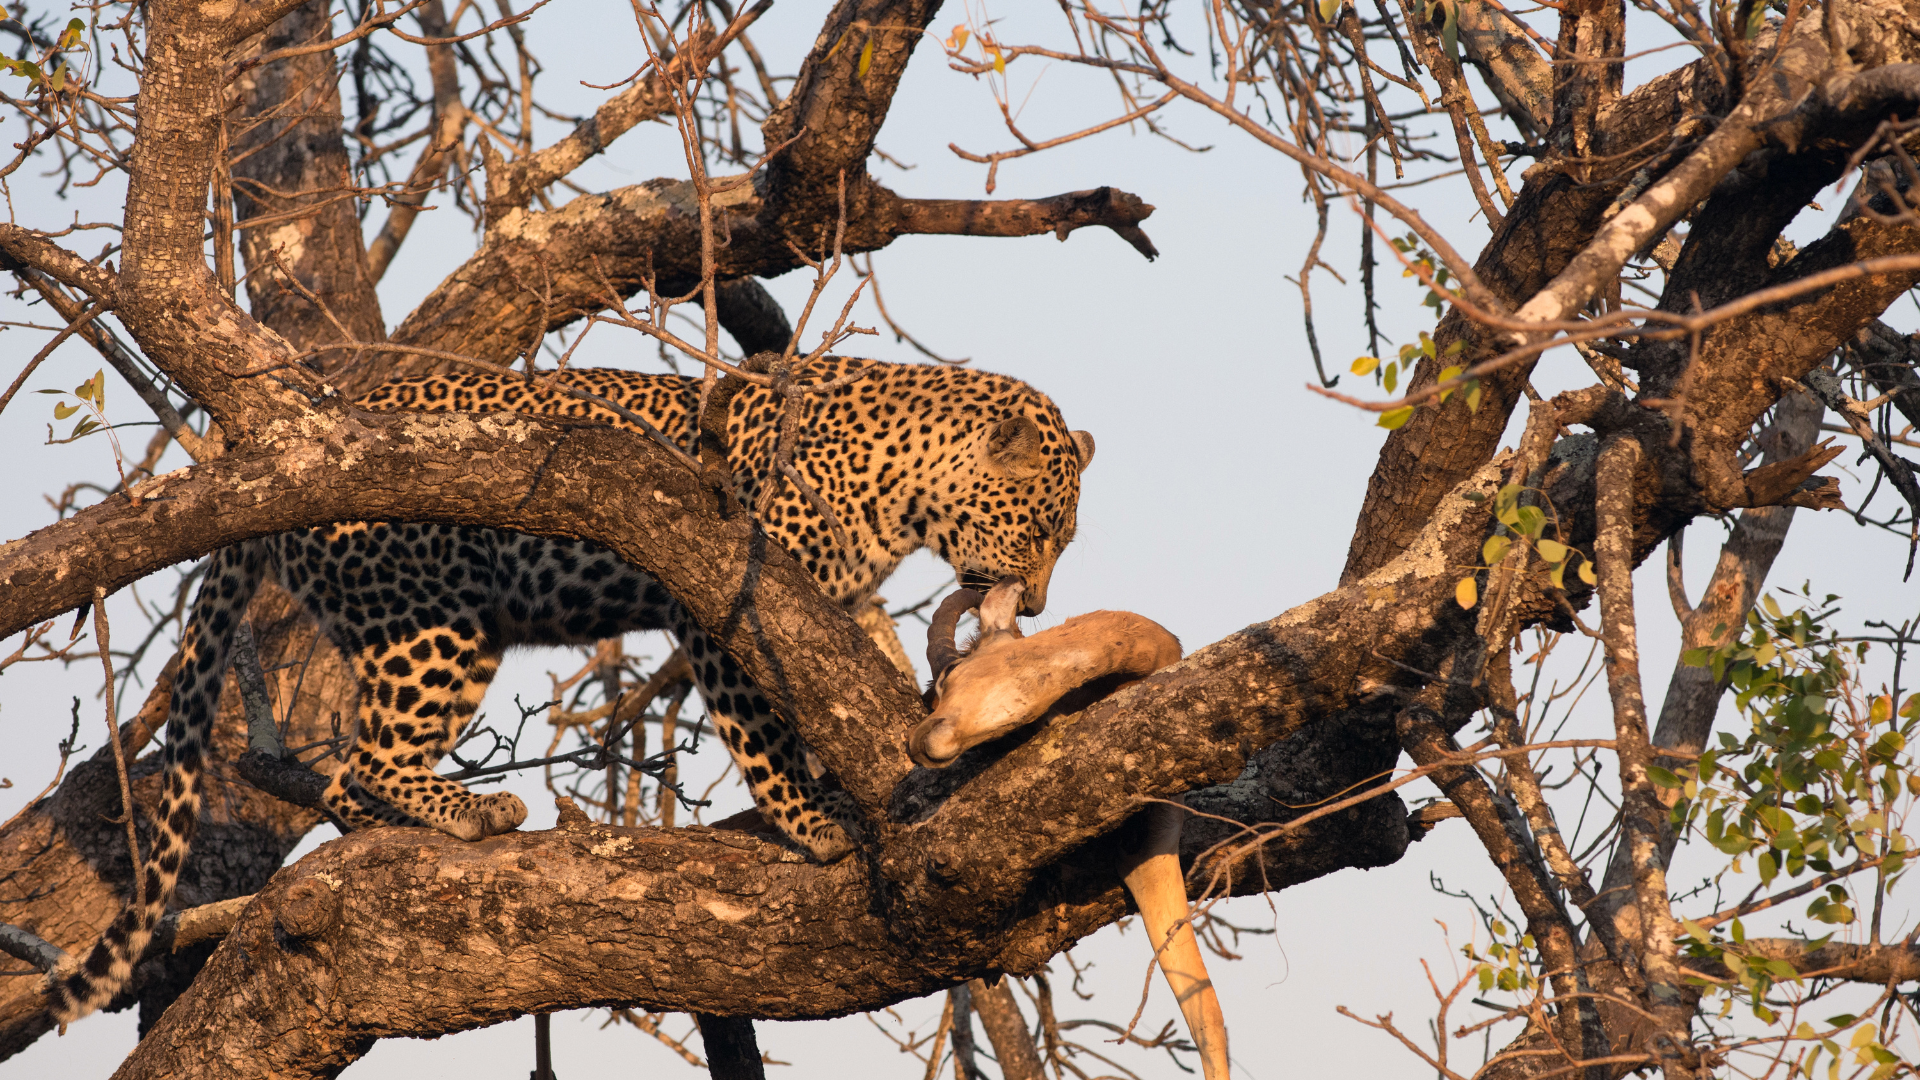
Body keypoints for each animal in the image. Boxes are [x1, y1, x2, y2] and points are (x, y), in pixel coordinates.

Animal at [45, 355, 1090, 1014]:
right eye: (1041, 526)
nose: (1038, 603)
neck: (897, 483)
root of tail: (286, 464)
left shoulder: (839, 600)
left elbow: (863, 665)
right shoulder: (721, 604)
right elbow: (762, 731)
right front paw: (811, 821)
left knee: (347, 780)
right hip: (436, 622)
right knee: (366, 761)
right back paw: (469, 811)